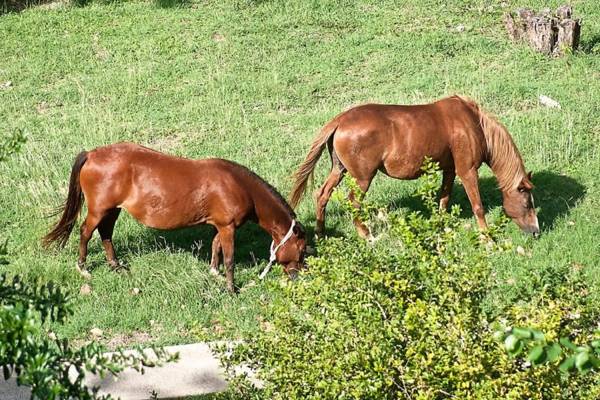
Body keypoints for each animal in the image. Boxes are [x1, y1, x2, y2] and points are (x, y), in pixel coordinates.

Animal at [43, 142, 304, 292]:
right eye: (302, 250)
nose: (297, 276)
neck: (238, 185)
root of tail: (92, 154)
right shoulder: (228, 226)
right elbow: (229, 258)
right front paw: (231, 289)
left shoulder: (220, 225)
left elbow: (215, 246)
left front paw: (214, 272)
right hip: (99, 210)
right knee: (86, 232)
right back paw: (83, 268)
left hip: (113, 210)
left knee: (106, 233)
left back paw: (116, 266)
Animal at [290, 95, 540, 239]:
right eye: (527, 202)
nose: (536, 232)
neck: (473, 123)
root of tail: (340, 120)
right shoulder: (466, 170)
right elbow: (477, 206)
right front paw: (487, 238)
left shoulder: (449, 170)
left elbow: (444, 199)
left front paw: (441, 226)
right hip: (362, 178)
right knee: (354, 202)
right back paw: (365, 234)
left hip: (339, 169)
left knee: (322, 194)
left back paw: (320, 232)